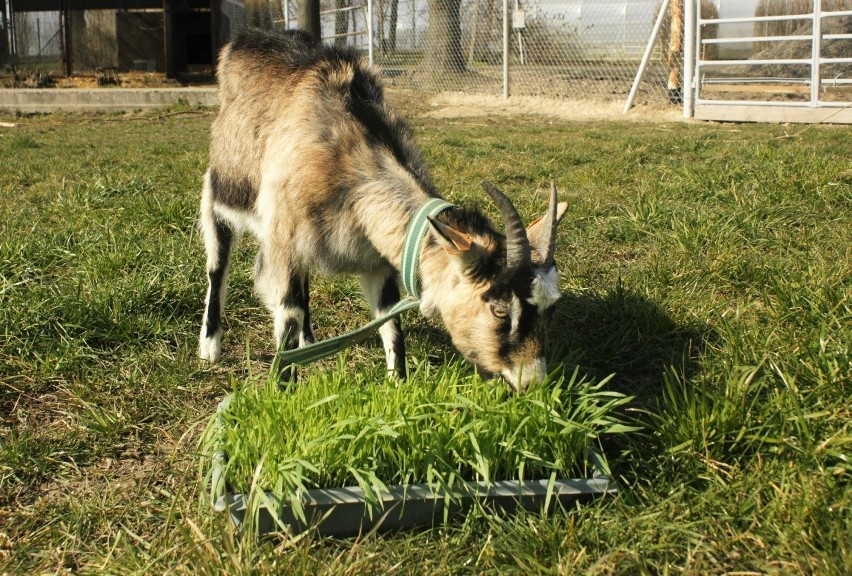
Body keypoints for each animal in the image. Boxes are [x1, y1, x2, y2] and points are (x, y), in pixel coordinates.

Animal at [196, 29, 564, 394]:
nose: (533, 382)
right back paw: (210, 346)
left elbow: (390, 320)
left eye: (551, 307)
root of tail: (246, 39)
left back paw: (309, 342)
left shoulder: (377, 260)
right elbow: (288, 313)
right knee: (218, 267)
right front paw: (283, 390)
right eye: (500, 310)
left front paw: (398, 383)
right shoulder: (284, 242)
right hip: (220, 189)